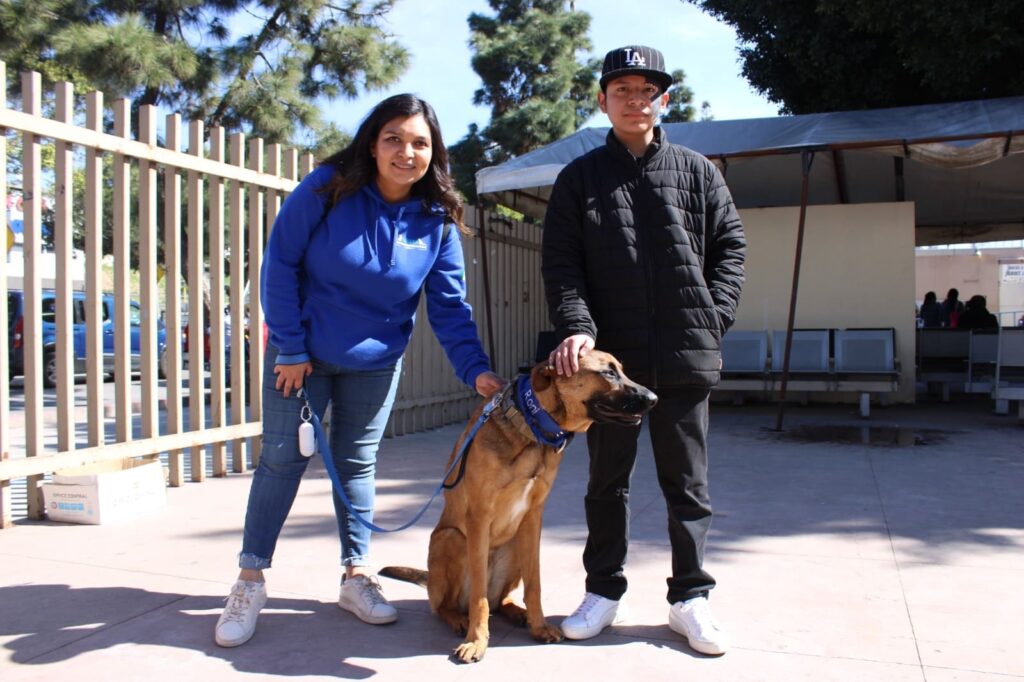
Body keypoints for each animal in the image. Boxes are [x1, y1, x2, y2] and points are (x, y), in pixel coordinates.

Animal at [380, 350, 659, 659]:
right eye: (608, 373)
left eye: (621, 370)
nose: (654, 398)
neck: (532, 427)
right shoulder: (478, 517)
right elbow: (478, 597)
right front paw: (477, 640)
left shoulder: (533, 518)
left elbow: (534, 584)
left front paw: (538, 626)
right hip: (451, 539)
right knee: (446, 605)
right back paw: (459, 619)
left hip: (513, 545)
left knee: (499, 601)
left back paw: (518, 613)